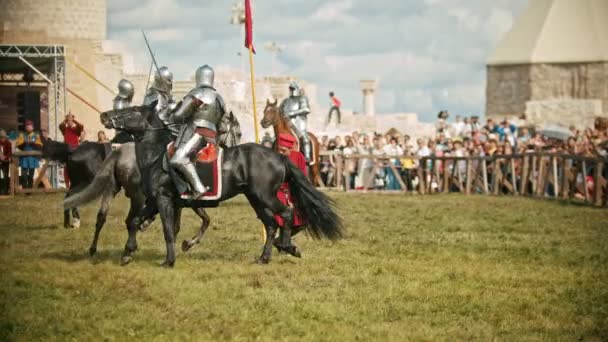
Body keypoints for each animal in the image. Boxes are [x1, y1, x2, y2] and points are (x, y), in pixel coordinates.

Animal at [94, 105, 342, 266]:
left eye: (132, 110)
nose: (104, 115)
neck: (156, 156)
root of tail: (279, 156)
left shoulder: (164, 200)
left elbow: (168, 230)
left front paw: (169, 260)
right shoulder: (157, 201)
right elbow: (136, 221)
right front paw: (128, 253)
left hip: (265, 196)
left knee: (287, 214)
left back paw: (286, 246)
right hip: (255, 198)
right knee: (271, 223)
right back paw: (264, 257)